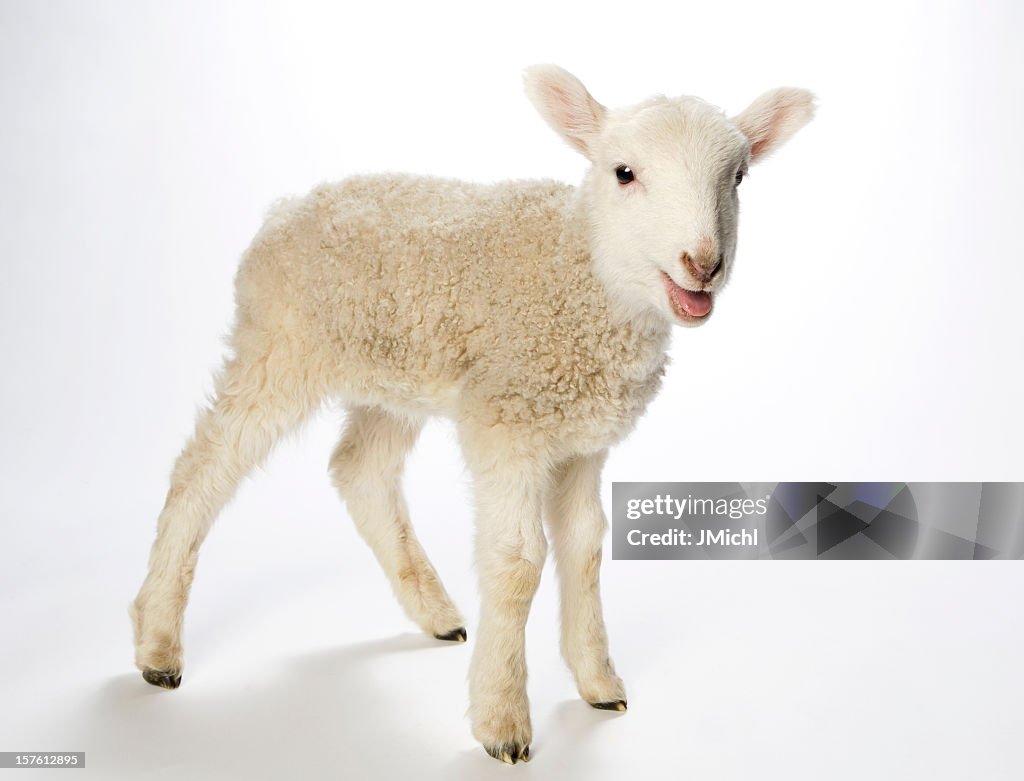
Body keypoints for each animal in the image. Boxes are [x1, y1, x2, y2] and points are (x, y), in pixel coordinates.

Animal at [131, 64, 814, 763]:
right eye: (624, 172)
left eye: (738, 178)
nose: (702, 264)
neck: (582, 276)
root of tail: (288, 207)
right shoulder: (507, 419)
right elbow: (517, 563)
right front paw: (503, 719)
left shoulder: (581, 436)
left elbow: (584, 547)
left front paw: (598, 682)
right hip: (279, 345)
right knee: (202, 468)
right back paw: (157, 645)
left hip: (392, 374)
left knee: (359, 469)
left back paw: (435, 613)